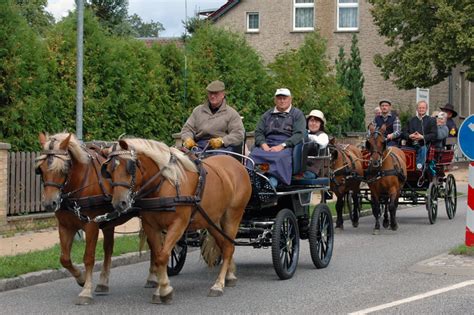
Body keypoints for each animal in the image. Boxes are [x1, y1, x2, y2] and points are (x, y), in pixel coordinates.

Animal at [37, 134, 153, 306]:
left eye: (64, 168)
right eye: (40, 169)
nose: (49, 203)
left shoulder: (91, 224)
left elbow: (89, 258)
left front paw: (86, 291)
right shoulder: (65, 226)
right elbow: (64, 258)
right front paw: (81, 279)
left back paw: (153, 277)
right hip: (109, 223)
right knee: (109, 249)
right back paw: (103, 283)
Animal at [101, 139, 252, 304]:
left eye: (130, 167)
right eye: (108, 170)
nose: (119, 203)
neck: (166, 183)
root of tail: (237, 164)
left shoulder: (178, 224)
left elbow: (162, 256)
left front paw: (165, 290)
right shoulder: (151, 226)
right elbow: (158, 256)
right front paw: (160, 289)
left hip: (233, 215)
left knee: (229, 246)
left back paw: (218, 285)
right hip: (212, 220)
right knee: (225, 246)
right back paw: (230, 275)